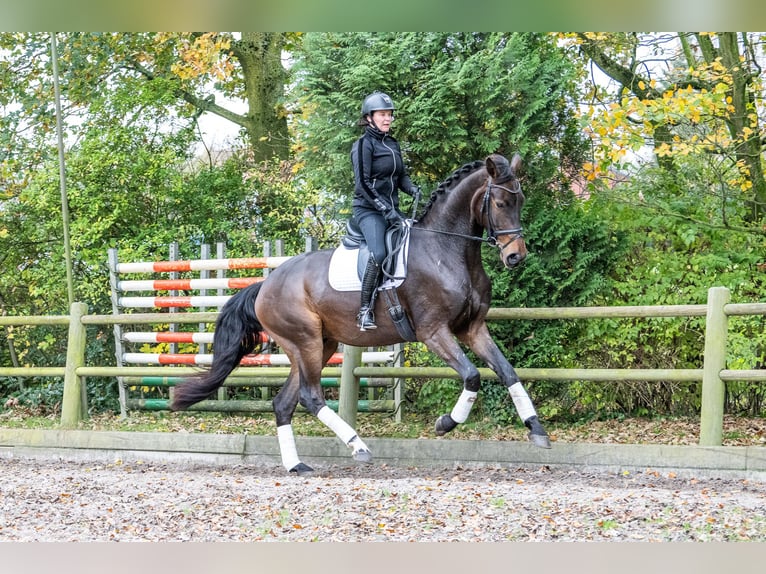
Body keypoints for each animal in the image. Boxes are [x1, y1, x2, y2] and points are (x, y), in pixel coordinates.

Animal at [170, 153, 552, 476]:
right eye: (500, 203)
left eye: (520, 202)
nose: (516, 257)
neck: (446, 250)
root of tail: (266, 284)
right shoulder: (433, 332)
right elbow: (472, 376)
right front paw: (446, 423)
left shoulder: (472, 328)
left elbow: (507, 372)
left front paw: (537, 430)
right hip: (305, 342)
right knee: (310, 396)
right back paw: (358, 446)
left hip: (317, 346)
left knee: (284, 403)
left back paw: (297, 466)